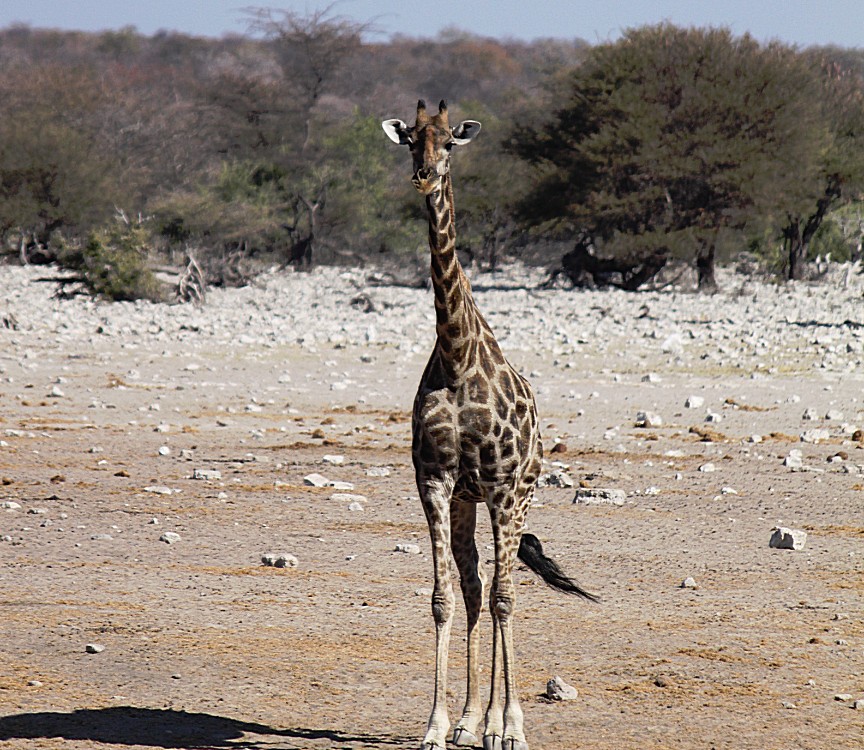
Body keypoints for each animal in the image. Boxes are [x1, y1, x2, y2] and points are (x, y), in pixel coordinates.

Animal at [382, 101, 596, 750]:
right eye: (411, 140)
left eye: (450, 142)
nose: (425, 175)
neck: (456, 356)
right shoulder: (435, 481)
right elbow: (444, 597)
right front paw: (438, 724)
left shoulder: (502, 486)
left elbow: (505, 597)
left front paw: (513, 727)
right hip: (468, 501)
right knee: (477, 586)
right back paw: (472, 720)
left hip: (519, 494)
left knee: (504, 589)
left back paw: (499, 724)